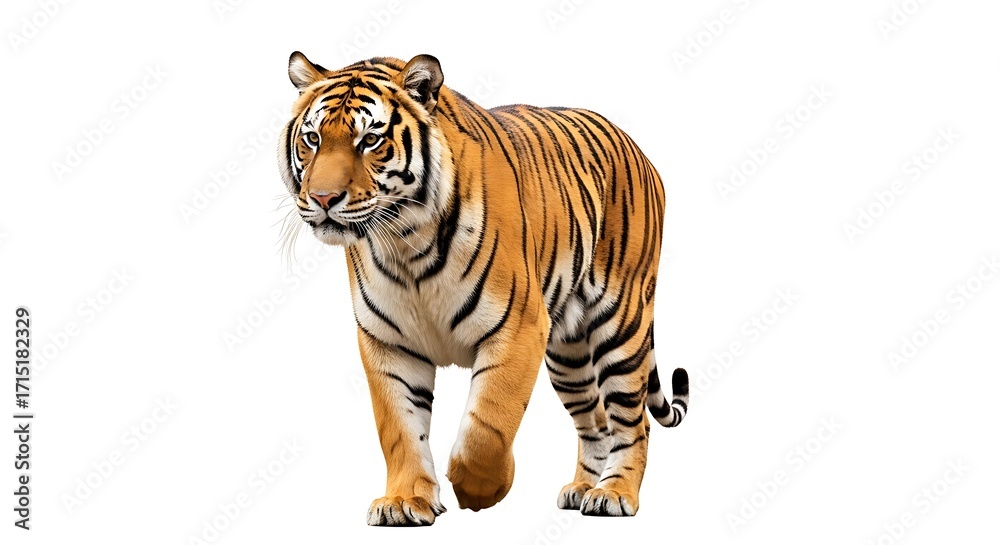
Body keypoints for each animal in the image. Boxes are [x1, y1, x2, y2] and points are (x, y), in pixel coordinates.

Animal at [277, 52, 689, 526]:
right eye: (312, 138)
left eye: (370, 140)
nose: (323, 198)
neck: (405, 242)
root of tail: (637, 148)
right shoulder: (388, 343)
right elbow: (399, 429)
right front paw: (404, 501)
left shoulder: (518, 329)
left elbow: (488, 425)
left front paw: (481, 490)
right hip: (568, 353)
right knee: (596, 422)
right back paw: (583, 489)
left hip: (621, 324)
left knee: (632, 420)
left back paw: (615, 494)